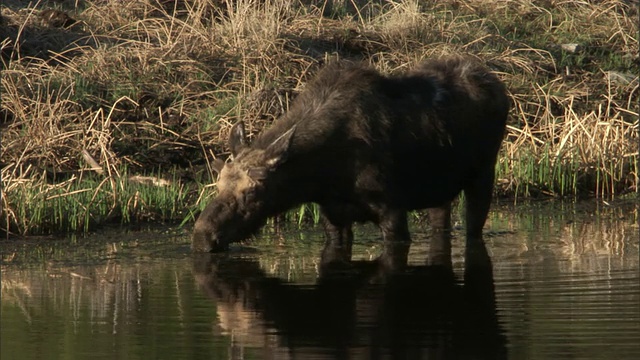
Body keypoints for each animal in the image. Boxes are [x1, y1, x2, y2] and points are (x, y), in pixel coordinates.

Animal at [191, 54, 510, 268]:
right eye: (217, 185)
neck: (324, 174)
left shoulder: (392, 211)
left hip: (484, 174)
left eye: (253, 193)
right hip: (439, 191)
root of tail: (497, 83)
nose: (202, 236)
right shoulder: (333, 218)